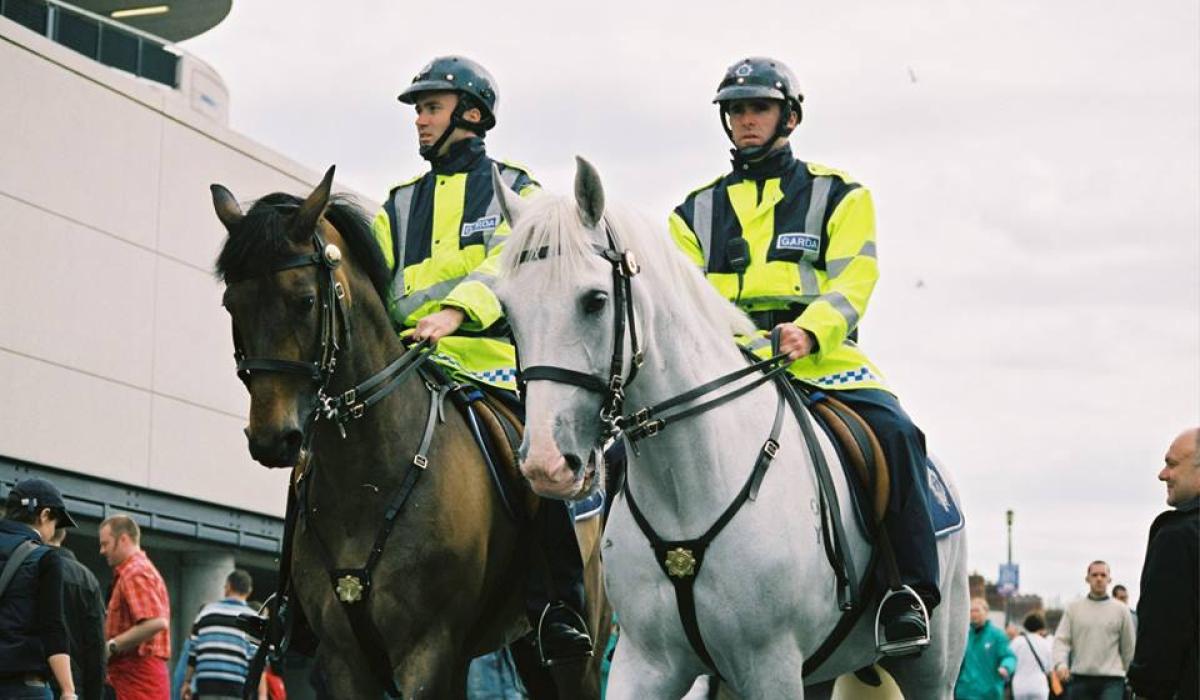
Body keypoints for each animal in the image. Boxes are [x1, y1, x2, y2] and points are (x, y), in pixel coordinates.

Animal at [210, 166, 611, 698]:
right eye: (231, 305)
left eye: (305, 300)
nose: (273, 438)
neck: (369, 479)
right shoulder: (343, 658)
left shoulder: (430, 651)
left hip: (575, 657)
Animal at [490, 157, 970, 699]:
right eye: (507, 312)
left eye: (593, 300)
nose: (546, 464)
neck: (690, 489)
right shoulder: (645, 663)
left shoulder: (770, 666)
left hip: (930, 671)